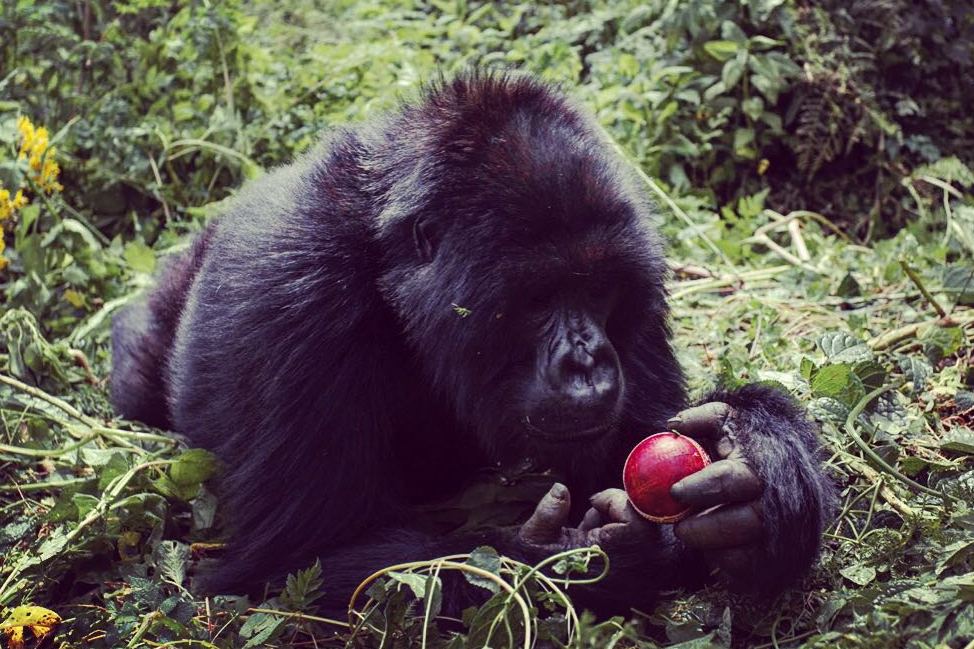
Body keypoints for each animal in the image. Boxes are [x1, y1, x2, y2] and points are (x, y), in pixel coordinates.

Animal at [110, 72, 836, 612]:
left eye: (599, 289)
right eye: (539, 298)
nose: (587, 363)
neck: (386, 259)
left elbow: (637, 435)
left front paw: (755, 457)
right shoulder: (294, 292)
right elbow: (297, 563)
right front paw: (577, 559)